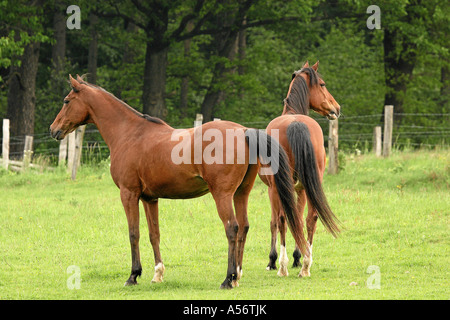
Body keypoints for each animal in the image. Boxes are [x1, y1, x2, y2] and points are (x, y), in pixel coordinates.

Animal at [50, 75, 310, 290]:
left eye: (66, 100)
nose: (54, 129)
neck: (130, 133)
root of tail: (245, 131)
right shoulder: (150, 198)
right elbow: (154, 233)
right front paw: (157, 274)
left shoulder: (129, 194)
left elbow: (134, 233)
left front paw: (133, 275)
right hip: (241, 194)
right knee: (244, 227)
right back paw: (236, 276)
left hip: (223, 195)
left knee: (232, 228)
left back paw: (227, 279)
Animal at [260, 60, 342, 278]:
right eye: (322, 84)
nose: (337, 108)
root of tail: (296, 123)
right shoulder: (301, 189)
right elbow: (297, 217)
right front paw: (298, 256)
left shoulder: (273, 189)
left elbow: (275, 221)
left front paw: (273, 261)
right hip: (310, 184)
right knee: (310, 218)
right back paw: (306, 264)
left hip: (279, 187)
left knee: (282, 219)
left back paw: (283, 266)